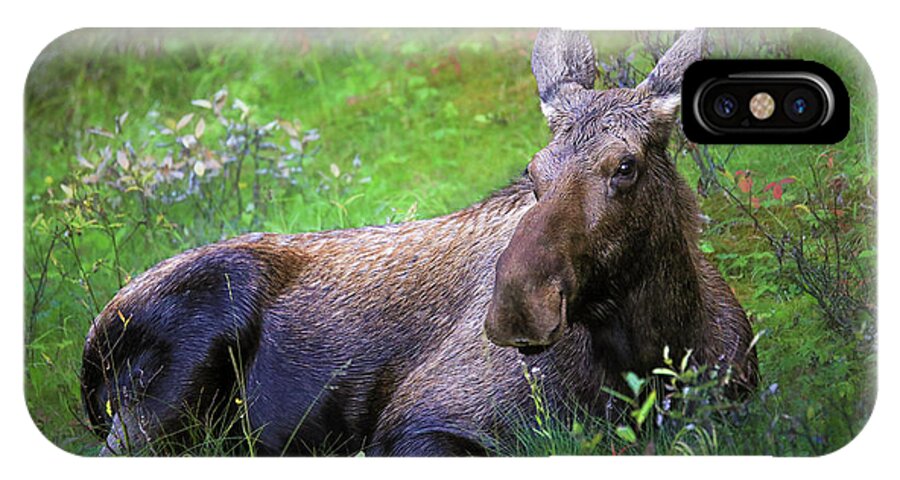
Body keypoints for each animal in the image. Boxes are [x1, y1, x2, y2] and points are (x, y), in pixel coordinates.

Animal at [84, 28, 760, 456]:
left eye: (625, 167)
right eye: (532, 170)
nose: (517, 306)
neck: (653, 355)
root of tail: (90, 349)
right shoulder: (418, 424)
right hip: (170, 380)